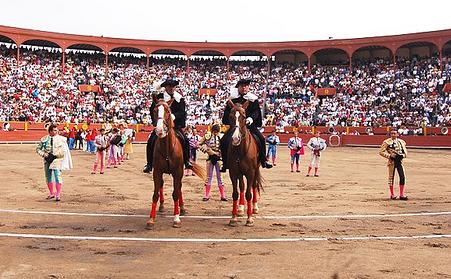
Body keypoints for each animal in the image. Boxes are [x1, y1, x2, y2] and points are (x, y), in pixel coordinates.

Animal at [147, 100, 207, 230]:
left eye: (168, 111)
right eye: (154, 111)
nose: (159, 130)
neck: (167, 148)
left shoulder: (178, 172)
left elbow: (175, 193)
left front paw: (176, 219)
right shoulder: (157, 172)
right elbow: (155, 195)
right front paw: (151, 220)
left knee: (179, 187)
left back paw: (182, 208)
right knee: (162, 185)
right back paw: (162, 207)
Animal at [226, 100, 264, 228]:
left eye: (243, 116)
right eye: (230, 116)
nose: (235, 138)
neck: (240, 150)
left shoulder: (250, 173)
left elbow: (249, 194)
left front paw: (249, 219)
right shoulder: (233, 172)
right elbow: (235, 193)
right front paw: (233, 218)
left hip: (256, 170)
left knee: (254, 186)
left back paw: (254, 207)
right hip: (240, 173)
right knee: (242, 187)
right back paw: (241, 208)